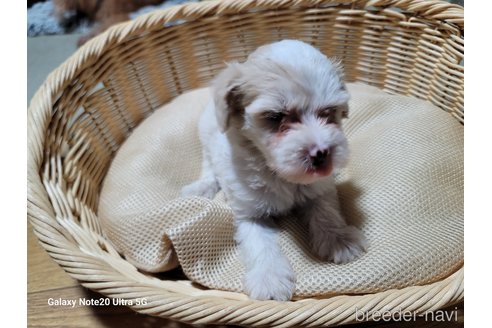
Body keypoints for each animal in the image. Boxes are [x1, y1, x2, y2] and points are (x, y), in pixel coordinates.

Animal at [183, 39, 368, 302]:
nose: (321, 153)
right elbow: (260, 244)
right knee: (209, 168)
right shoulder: (249, 213)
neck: (279, 174)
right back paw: (200, 188)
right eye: (276, 116)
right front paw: (269, 278)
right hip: (207, 139)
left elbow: (326, 211)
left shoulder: (319, 188)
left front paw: (339, 240)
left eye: (328, 111)